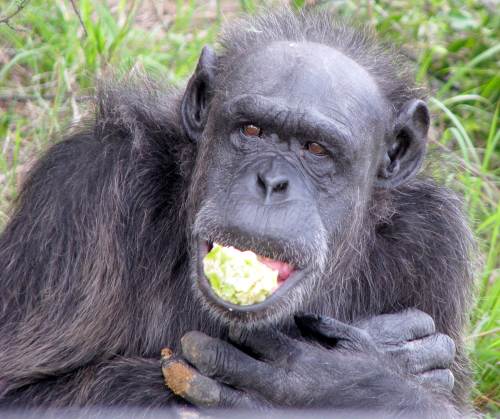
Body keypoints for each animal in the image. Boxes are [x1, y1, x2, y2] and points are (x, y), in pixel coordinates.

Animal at [0, 7, 472, 419]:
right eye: (251, 129)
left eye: (316, 149)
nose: (271, 183)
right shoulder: (82, 187)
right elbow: (19, 392)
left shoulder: (433, 242)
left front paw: (324, 383)